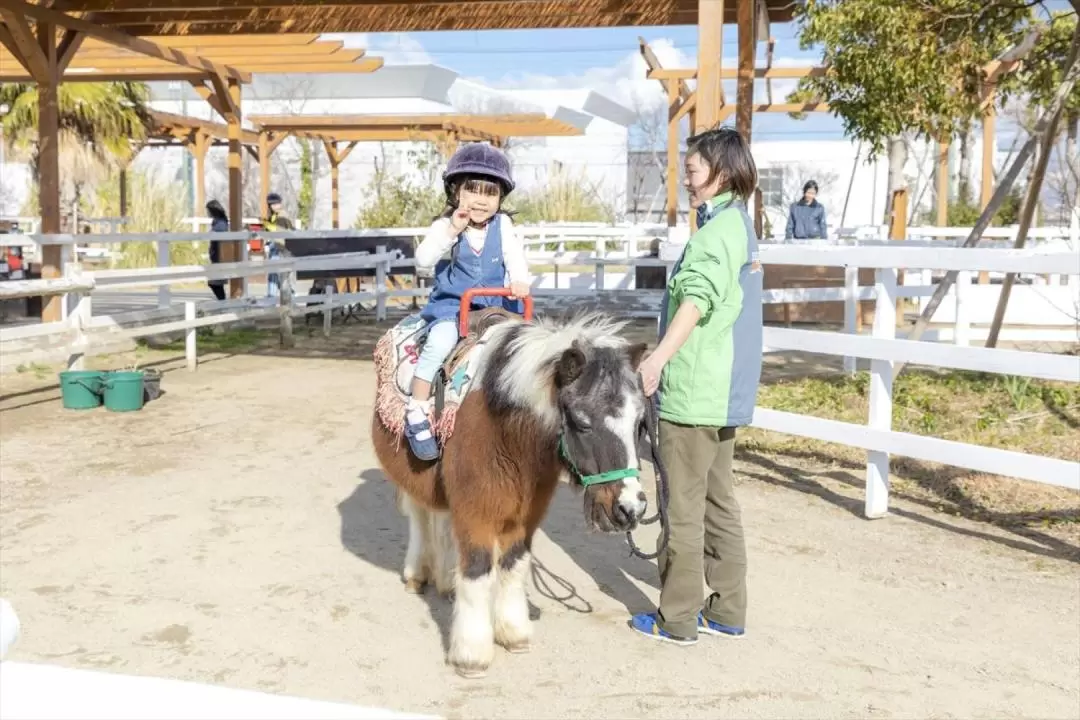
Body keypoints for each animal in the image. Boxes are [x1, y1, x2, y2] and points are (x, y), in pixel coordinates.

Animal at [369, 313, 648, 677]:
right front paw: (471, 654)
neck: (505, 431)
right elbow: (477, 570)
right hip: (412, 480)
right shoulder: (476, 513)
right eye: (582, 422)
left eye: (640, 423)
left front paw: (514, 633)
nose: (630, 509)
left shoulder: (524, 517)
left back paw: (446, 582)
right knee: (419, 519)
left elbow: (513, 566)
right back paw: (416, 574)